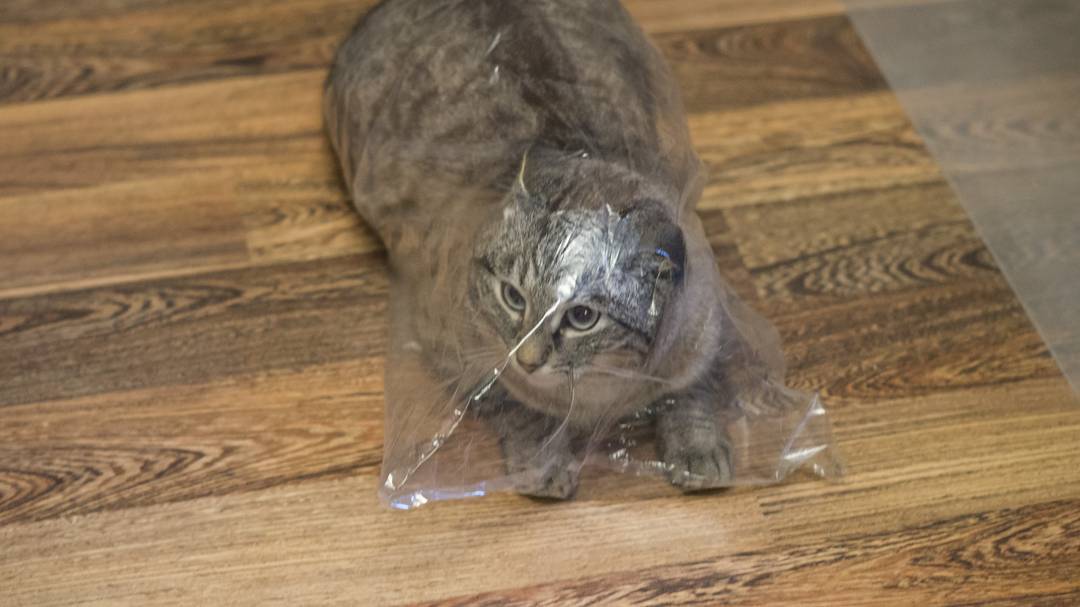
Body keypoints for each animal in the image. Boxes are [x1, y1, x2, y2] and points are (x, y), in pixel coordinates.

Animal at [325, 0, 774, 498]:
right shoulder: (461, 358)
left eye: (582, 317)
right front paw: (544, 463)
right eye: (512, 297)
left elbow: (690, 394)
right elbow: (521, 411)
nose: (527, 360)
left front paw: (698, 449)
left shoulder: (701, 332)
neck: (603, 384)